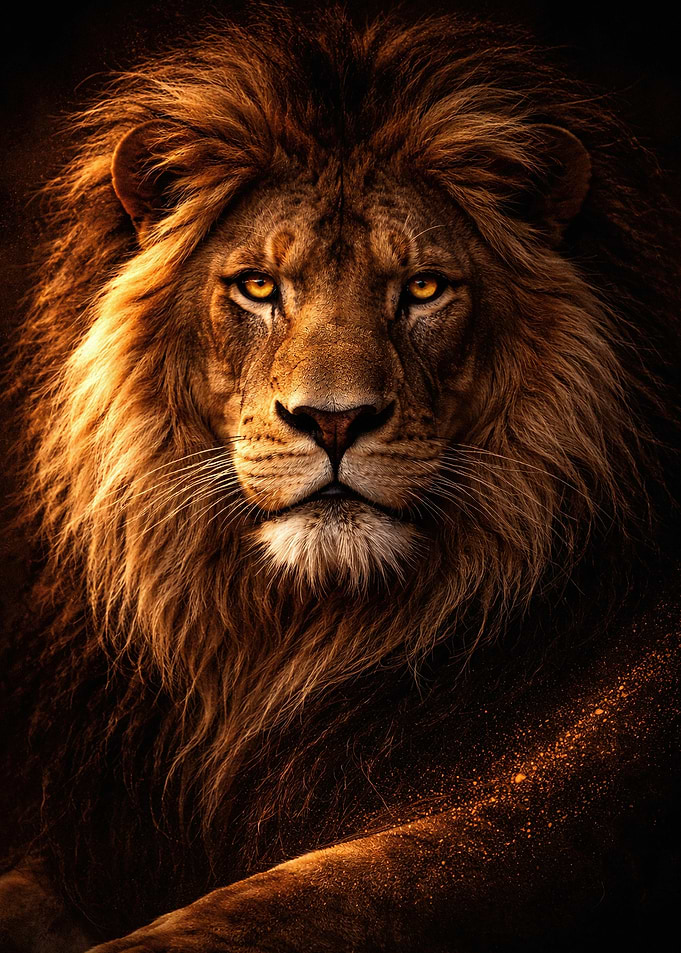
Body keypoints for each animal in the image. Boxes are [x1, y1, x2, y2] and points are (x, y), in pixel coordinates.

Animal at [1, 6, 680, 952]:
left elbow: (289, 901)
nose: (332, 420)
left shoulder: (532, 818)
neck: (294, 642)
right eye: (257, 286)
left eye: (423, 288)